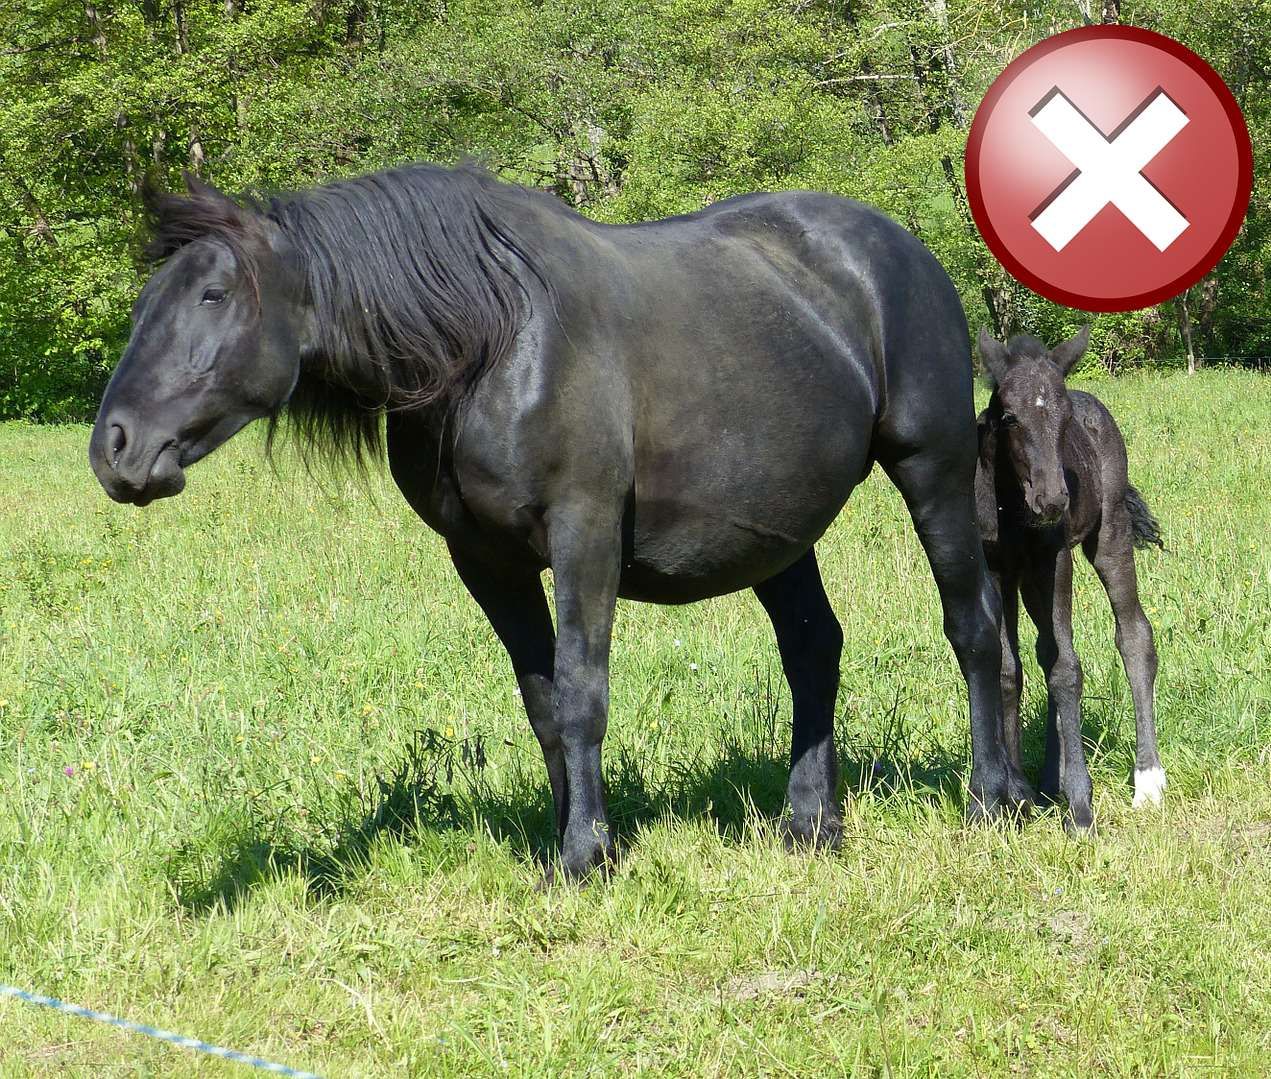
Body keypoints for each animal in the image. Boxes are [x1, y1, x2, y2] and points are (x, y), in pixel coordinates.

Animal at [88, 163, 1035, 880]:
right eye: (143, 305)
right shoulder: (486, 562)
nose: (115, 448)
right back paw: (810, 821)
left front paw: (587, 854)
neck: (493, 345)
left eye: (214, 294)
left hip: (931, 470)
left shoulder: (584, 537)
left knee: (972, 627)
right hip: (776, 531)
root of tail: (901, 248)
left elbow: (582, 691)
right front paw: (565, 837)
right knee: (812, 649)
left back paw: (992, 796)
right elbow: (543, 701)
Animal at [975, 327, 1165, 831]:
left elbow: (1066, 668)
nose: (1054, 500)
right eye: (1009, 417)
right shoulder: (997, 569)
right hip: (1027, 580)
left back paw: (1148, 781)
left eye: (1064, 422)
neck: (1012, 509)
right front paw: (1016, 795)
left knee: (1134, 635)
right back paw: (1046, 780)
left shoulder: (1054, 559)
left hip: (1110, 534)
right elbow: (1010, 669)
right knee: (1044, 649)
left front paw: (1080, 805)